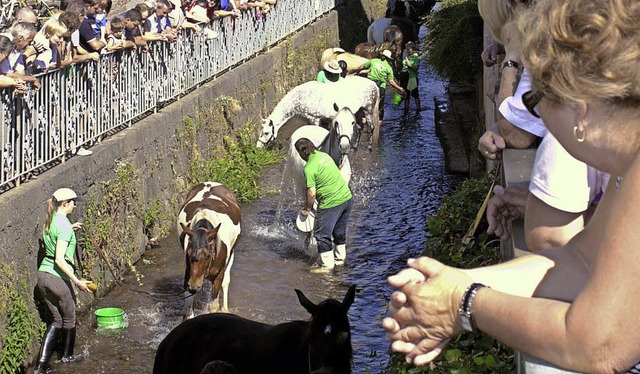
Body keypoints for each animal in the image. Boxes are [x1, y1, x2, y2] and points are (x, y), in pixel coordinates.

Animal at [176, 181, 241, 318]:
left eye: (207, 256)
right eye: (188, 254)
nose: (193, 286)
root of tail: (212, 183)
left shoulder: (218, 275)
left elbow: (214, 306)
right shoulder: (188, 272)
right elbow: (188, 308)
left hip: (231, 255)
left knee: (226, 282)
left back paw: (225, 309)